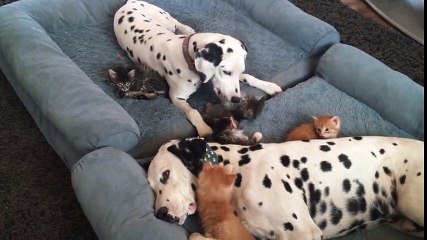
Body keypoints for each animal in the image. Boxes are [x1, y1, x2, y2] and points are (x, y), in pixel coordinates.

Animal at [113, 0, 284, 137]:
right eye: (226, 71)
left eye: (239, 71)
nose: (236, 99)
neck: (184, 52)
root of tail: (129, 2)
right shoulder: (176, 97)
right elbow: (193, 111)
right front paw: (204, 128)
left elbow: (249, 77)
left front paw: (268, 85)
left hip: (165, 20)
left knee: (176, 23)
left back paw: (187, 29)